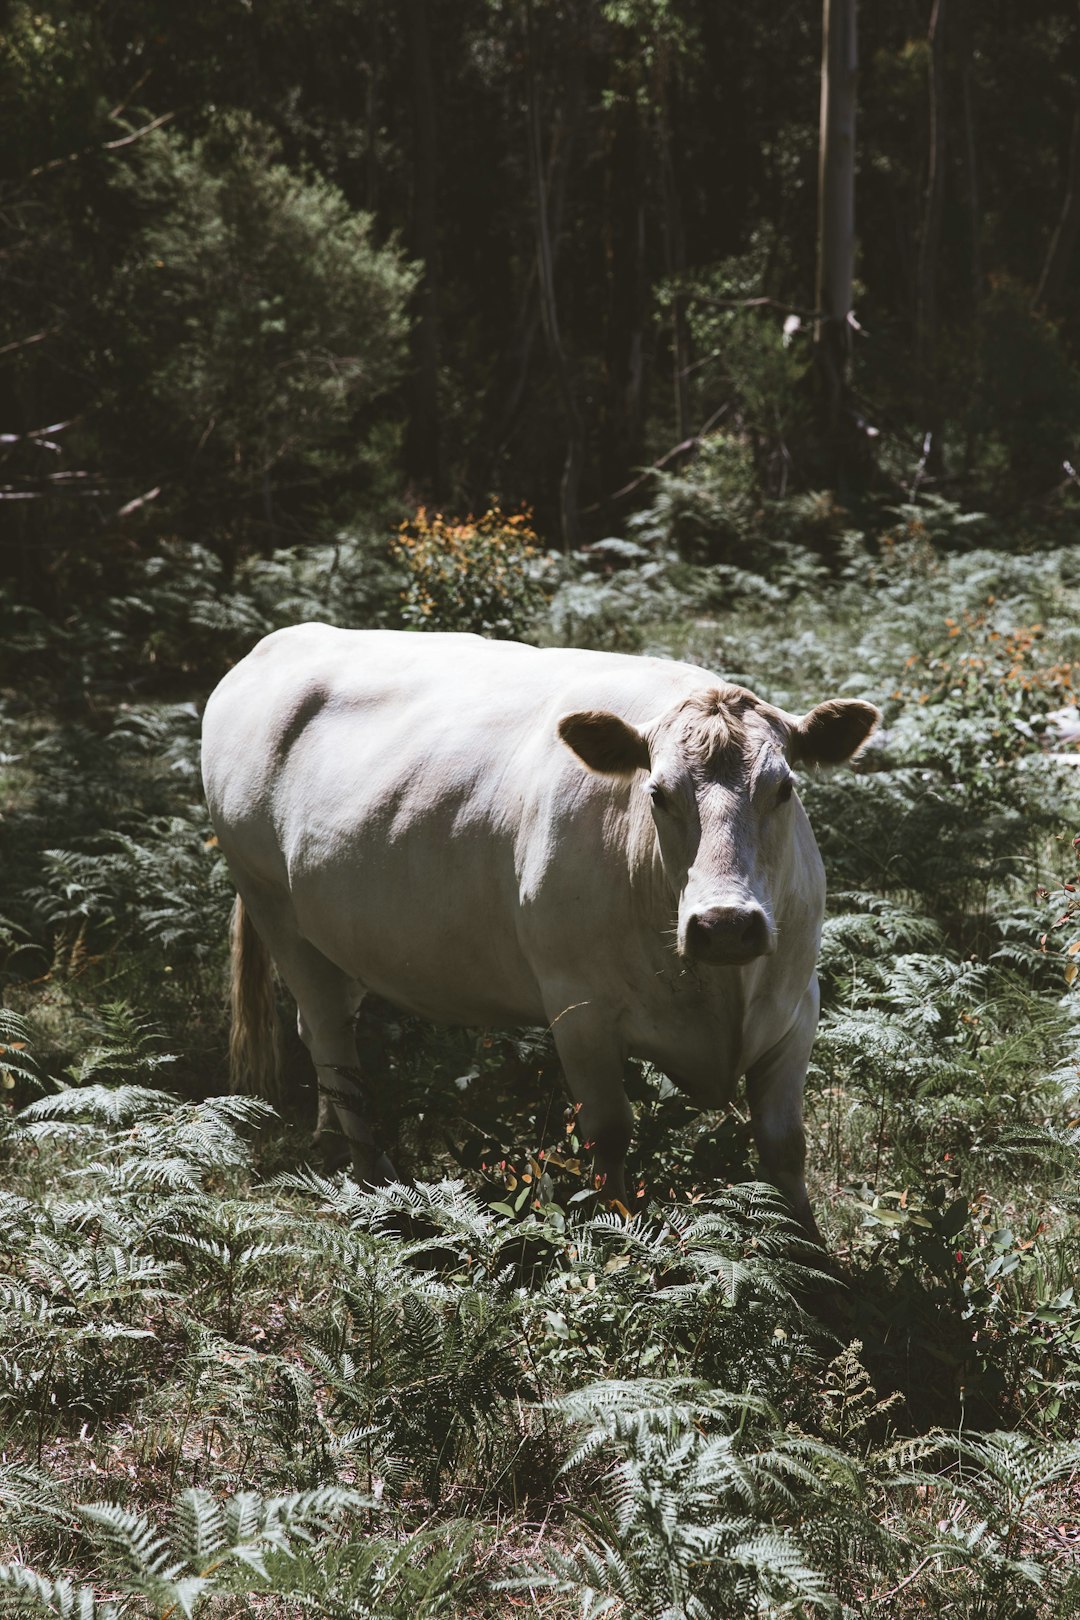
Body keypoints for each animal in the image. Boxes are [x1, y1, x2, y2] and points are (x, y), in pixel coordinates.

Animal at [202, 625, 880, 1231]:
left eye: (784, 788)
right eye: (658, 794)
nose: (725, 925)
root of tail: (278, 642)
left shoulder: (798, 1004)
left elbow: (785, 1143)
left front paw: (811, 1252)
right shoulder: (577, 1010)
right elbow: (609, 1136)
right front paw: (617, 1237)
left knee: (324, 1031)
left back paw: (329, 1139)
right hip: (272, 906)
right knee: (330, 1039)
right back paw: (377, 1179)